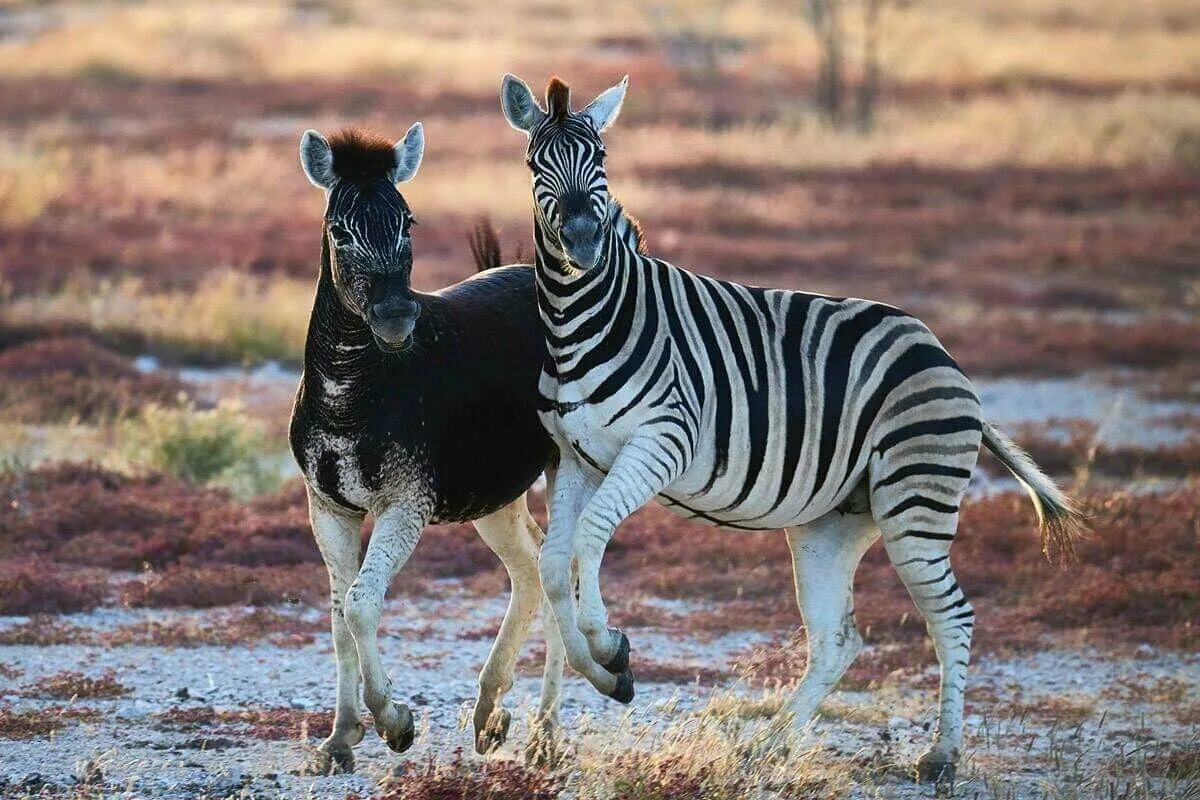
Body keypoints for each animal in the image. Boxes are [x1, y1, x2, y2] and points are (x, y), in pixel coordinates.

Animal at [295, 126, 566, 777]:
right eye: (340, 230)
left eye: (408, 222)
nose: (396, 316)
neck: (348, 391)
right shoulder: (326, 507)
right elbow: (338, 616)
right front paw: (338, 740)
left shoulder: (407, 504)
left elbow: (362, 605)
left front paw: (394, 723)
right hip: (494, 492)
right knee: (530, 567)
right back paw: (491, 715)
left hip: (566, 464)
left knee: (561, 567)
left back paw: (544, 736)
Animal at [499, 76, 1089, 782]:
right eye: (534, 165)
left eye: (603, 161)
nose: (584, 241)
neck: (584, 319)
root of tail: (943, 353)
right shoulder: (577, 459)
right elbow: (555, 565)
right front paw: (607, 669)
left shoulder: (662, 442)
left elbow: (588, 539)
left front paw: (608, 645)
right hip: (830, 525)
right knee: (839, 639)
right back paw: (768, 747)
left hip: (915, 499)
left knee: (952, 617)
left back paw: (941, 756)